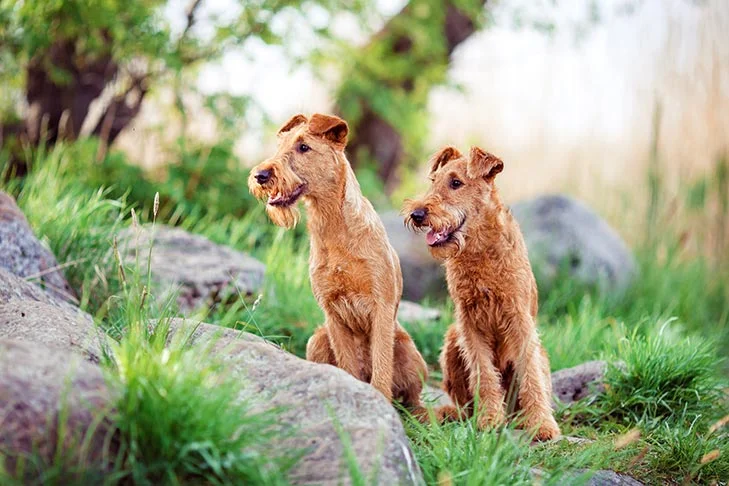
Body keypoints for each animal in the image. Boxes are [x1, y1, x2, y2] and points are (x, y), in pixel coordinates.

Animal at [249, 113, 426, 410]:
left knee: (413, 399)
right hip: (316, 339)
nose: (260, 175)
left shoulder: (380, 306)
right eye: (281, 144)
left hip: (409, 351)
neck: (334, 226)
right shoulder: (332, 312)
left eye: (304, 147)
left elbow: (382, 367)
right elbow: (347, 364)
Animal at [400, 144, 560, 440]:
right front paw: (489, 420)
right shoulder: (470, 322)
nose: (417, 214)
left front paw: (542, 425)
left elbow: (531, 376)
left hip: (539, 353)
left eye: (456, 183)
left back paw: (521, 419)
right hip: (452, 341)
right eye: (433, 181)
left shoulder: (519, 320)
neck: (479, 249)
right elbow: (484, 375)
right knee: (465, 404)